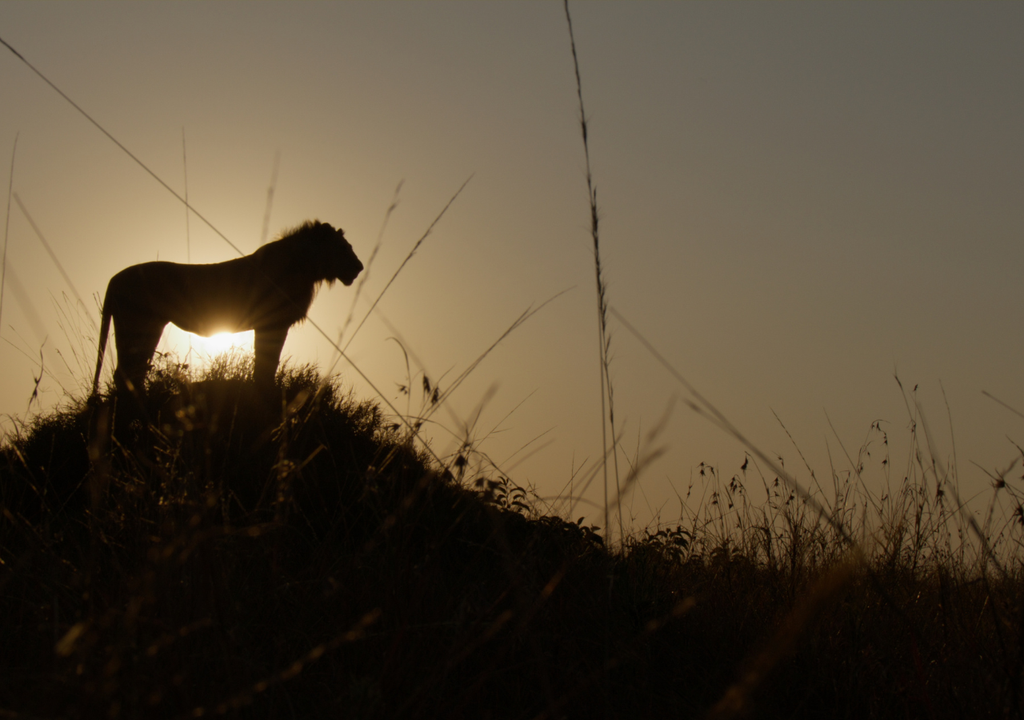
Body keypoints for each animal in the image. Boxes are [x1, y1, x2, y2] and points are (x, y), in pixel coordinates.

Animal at [91, 220, 363, 396]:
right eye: (343, 247)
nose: (359, 267)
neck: (305, 266)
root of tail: (114, 279)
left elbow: (266, 362)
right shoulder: (272, 323)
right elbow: (266, 362)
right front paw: (265, 391)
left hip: (146, 326)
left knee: (130, 373)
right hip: (137, 324)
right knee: (125, 374)